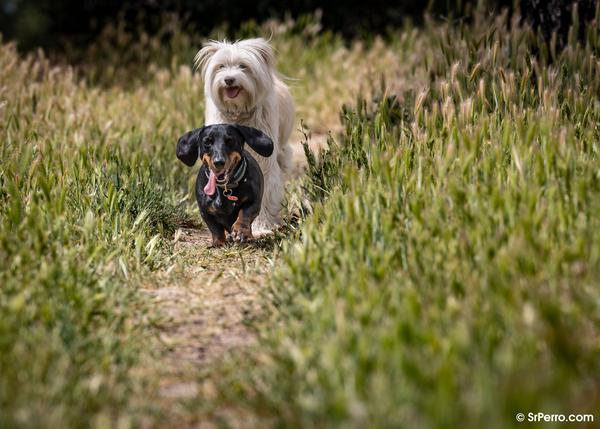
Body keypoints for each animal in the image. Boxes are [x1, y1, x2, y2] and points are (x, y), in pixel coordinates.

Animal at [195, 38, 296, 232]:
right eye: (221, 66)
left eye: (243, 66)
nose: (229, 79)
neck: (238, 112)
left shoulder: (264, 162)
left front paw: (260, 226)